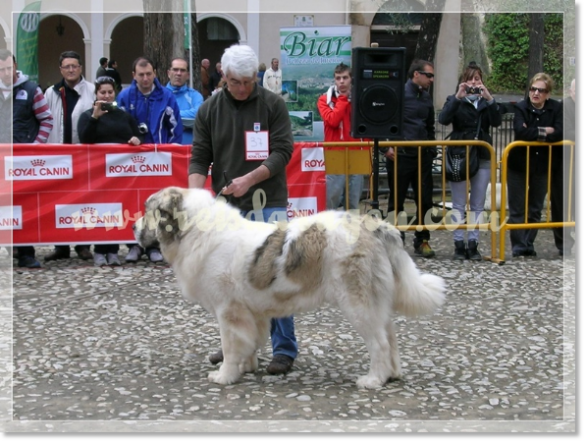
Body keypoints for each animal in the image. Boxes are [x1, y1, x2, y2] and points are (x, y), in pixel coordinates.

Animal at [133, 187, 442, 388]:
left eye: (148, 211)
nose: (134, 227)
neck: (194, 231)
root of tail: (374, 226)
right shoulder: (250, 312)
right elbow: (249, 342)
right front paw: (246, 367)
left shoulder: (228, 311)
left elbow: (231, 346)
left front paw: (224, 376)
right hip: (376, 302)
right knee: (390, 336)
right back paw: (392, 374)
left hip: (359, 304)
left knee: (379, 342)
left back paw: (373, 380)